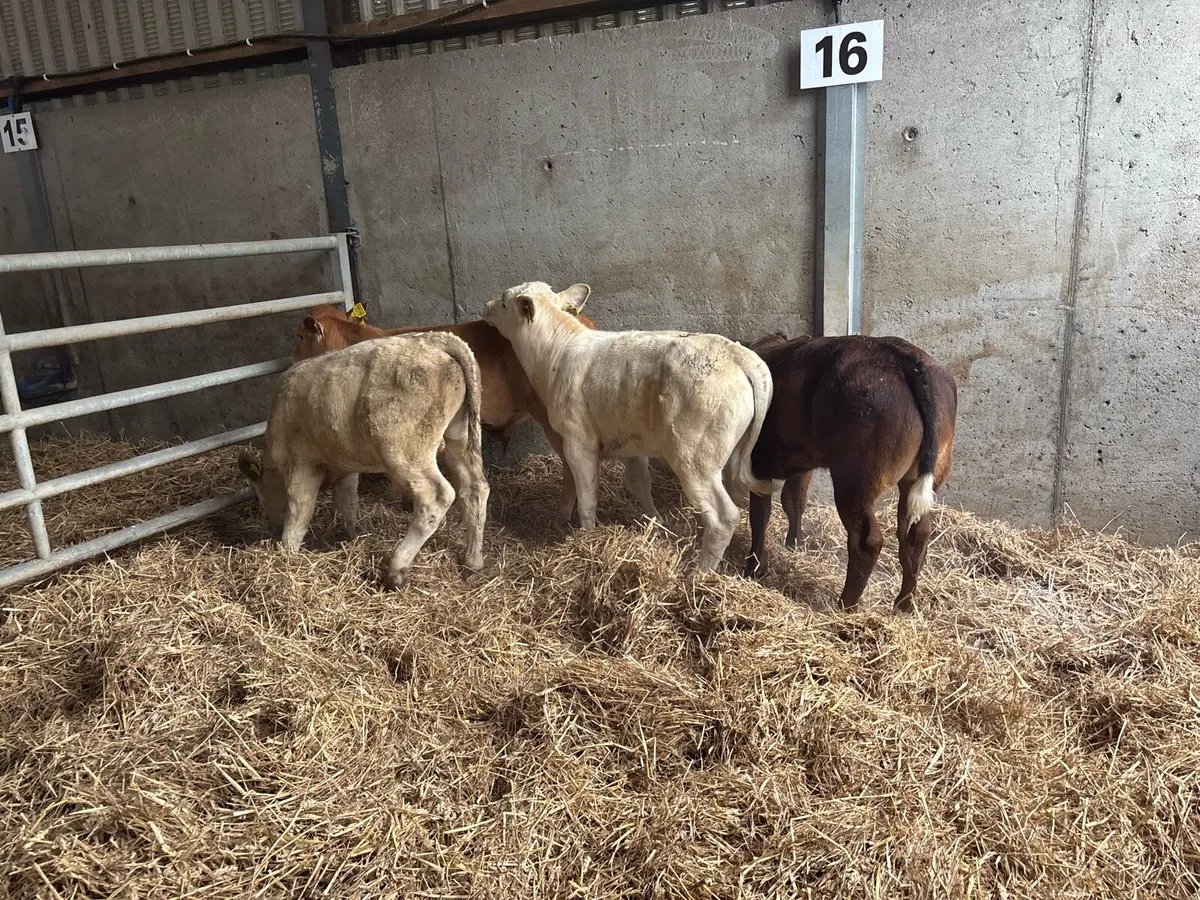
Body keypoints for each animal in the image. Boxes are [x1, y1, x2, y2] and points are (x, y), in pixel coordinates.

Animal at [238, 332, 489, 589]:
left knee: (435, 497)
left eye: (258, 497)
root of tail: (432, 339)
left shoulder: (302, 465)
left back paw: (396, 571)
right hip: (460, 436)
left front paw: (286, 551)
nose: (271, 529)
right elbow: (347, 502)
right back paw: (472, 561)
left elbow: (299, 512)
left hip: (406, 451)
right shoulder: (345, 466)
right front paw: (347, 536)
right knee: (474, 488)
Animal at [483, 281, 776, 571]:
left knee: (723, 516)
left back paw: (699, 573)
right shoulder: (631, 439)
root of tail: (739, 355)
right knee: (737, 496)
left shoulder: (578, 439)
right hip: (730, 454)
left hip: (694, 456)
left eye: (504, 302)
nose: (486, 306)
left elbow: (586, 493)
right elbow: (638, 482)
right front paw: (655, 523)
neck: (555, 354)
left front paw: (587, 536)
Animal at [743, 331, 957, 612]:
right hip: (920, 478)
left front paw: (754, 566)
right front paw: (795, 544)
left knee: (867, 541)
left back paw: (846, 605)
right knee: (915, 535)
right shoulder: (802, 460)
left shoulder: (759, 461)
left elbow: (760, 514)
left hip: (855, 480)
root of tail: (905, 359)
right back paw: (903, 605)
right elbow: (794, 500)